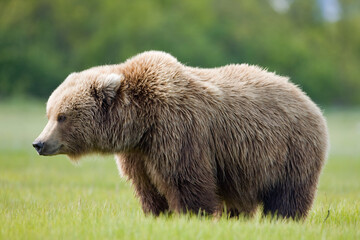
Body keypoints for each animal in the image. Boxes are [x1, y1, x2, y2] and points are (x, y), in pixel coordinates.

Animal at [33, 50, 330, 219]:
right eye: (49, 113)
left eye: (62, 116)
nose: (39, 143)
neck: (141, 124)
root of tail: (310, 101)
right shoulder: (139, 153)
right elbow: (148, 188)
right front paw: (156, 214)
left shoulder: (179, 131)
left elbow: (186, 180)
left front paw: (193, 215)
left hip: (290, 150)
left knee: (288, 194)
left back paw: (283, 218)